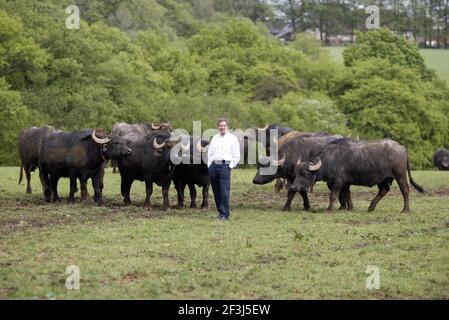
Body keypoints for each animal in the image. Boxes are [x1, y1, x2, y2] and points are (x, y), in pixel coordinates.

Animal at [288, 138, 422, 212]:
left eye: (305, 173)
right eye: (297, 173)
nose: (293, 187)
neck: (330, 160)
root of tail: (402, 147)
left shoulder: (338, 182)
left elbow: (334, 195)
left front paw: (329, 209)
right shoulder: (345, 183)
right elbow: (347, 195)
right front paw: (350, 208)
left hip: (400, 175)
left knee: (405, 190)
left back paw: (405, 210)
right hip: (382, 179)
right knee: (384, 190)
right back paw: (371, 207)